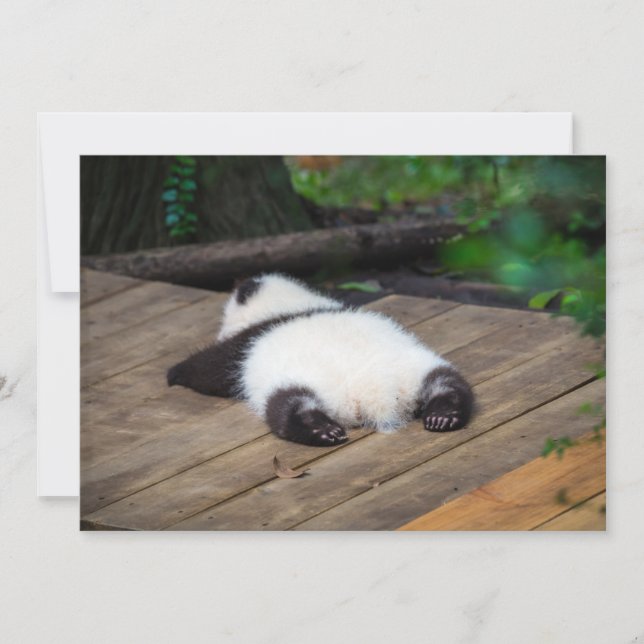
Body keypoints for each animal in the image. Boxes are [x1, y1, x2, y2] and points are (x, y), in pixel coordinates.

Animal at [167, 273, 473, 447]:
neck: (290, 305)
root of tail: (374, 393)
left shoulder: (245, 344)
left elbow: (210, 369)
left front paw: (175, 373)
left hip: (298, 382)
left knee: (287, 405)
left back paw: (321, 430)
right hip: (415, 367)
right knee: (448, 382)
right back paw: (443, 415)